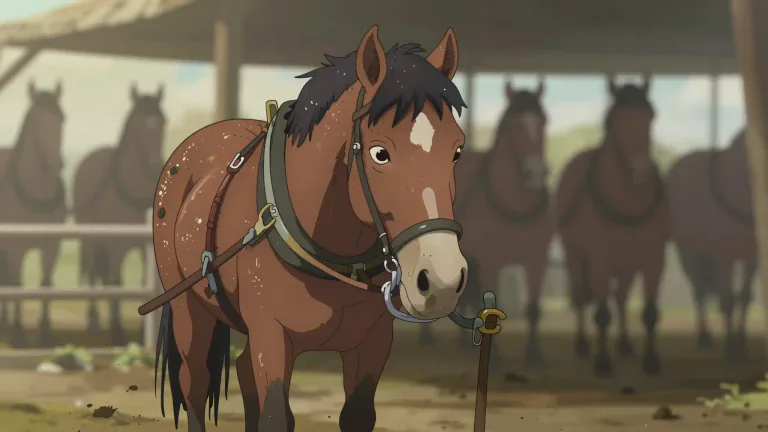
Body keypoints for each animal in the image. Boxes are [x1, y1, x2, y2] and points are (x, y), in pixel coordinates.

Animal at [73, 83, 166, 345]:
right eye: (138, 125)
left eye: (162, 122)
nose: (155, 166)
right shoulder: (115, 245)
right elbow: (116, 281)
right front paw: (117, 332)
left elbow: (143, 280)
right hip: (91, 240)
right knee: (94, 275)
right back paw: (94, 321)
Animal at [152, 26, 469, 431]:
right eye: (380, 153)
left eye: (457, 150)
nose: (442, 281)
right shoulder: (271, 335)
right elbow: (275, 414)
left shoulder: (373, 342)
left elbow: (357, 414)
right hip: (188, 305)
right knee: (194, 381)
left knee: (241, 371)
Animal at [418, 80, 553, 369]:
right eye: (513, 125)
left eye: (544, 121)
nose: (536, 174)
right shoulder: (492, 262)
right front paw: (498, 360)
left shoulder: (537, 260)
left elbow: (534, 308)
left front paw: (534, 356)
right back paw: (427, 337)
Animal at [556, 77, 669, 377]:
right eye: (615, 120)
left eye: (650, 116)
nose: (641, 172)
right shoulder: (600, 260)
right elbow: (602, 314)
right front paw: (603, 362)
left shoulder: (654, 259)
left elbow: (650, 312)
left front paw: (651, 360)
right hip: (575, 254)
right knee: (582, 297)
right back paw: (583, 345)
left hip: (627, 261)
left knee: (620, 297)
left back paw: (625, 344)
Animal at [667, 128, 754, 361]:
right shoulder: (723, 257)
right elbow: (727, 300)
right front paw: (731, 349)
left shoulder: (753, 259)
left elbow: (745, 297)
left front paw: (741, 340)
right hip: (688, 253)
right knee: (699, 291)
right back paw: (704, 337)